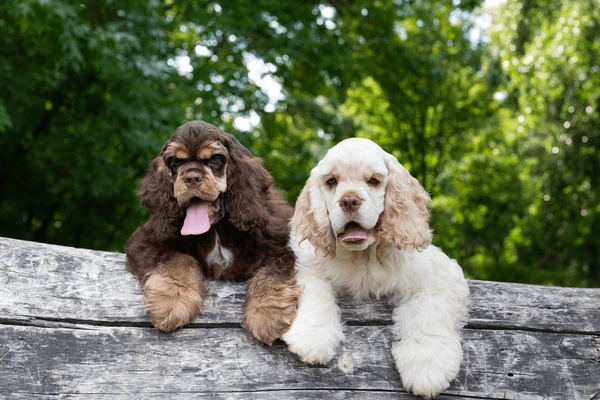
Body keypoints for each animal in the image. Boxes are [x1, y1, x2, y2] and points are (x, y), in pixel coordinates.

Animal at [125, 119, 300, 344]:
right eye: (175, 162)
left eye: (215, 159)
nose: (192, 177)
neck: (216, 229)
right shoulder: (146, 240)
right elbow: (179, 260)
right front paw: (171, 300)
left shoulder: (285, 245)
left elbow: (272, 273)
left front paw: (267, 314)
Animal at [282, 138, 468, 400]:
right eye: (331, 182)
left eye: (373, 180)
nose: (349, 200)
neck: (364, 257)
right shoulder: (307, 265)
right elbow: (316, 292)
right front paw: (312, 337)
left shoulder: (442, 273)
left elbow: (430, 313)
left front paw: (427, 367)